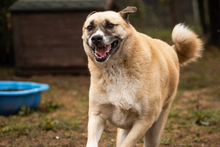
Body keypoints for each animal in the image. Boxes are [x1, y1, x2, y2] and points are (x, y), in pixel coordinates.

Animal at [82, 6, 203, 146]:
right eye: (89, 27)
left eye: (110, 25)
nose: (96, 38)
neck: (116, 70)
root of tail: (172, 48)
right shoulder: (97, 115)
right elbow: (92, 142)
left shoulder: (144, 121)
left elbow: (127, 143)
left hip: (155, 131)